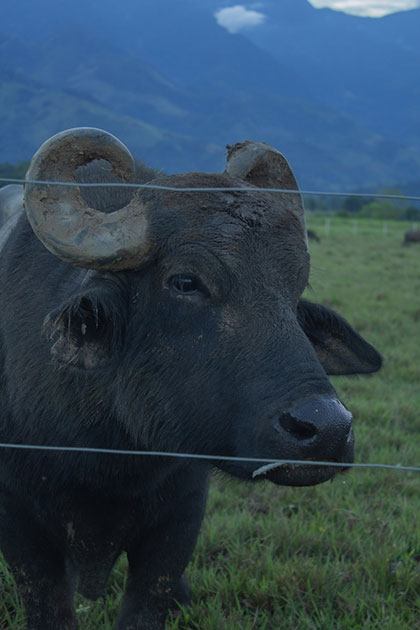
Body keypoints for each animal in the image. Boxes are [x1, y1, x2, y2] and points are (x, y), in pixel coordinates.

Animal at [0, 130, 380, 630]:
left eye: (295, 287)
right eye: (185, 281)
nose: (328, 429)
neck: (105, 453)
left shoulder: (180, 519)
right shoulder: (20, 524)